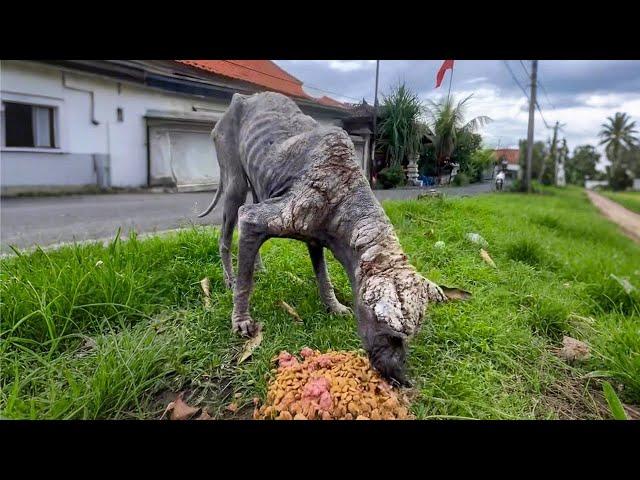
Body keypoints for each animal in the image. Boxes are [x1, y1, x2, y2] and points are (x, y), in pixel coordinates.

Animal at [199, 91, 444, 386]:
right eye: (391, 335)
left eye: (410, 337)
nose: (402, 380)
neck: (346, 187)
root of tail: (243, 97)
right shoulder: (280, 214)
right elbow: (246, 275)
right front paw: (241, 320)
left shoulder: (316, 233)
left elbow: (323, 275)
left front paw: (334, 306)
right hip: (233, 177)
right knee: (229, 228)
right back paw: (229, 279)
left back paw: (257, 266)